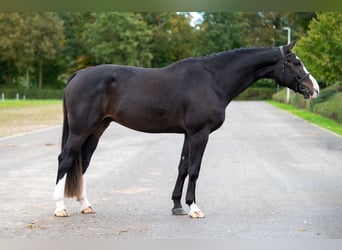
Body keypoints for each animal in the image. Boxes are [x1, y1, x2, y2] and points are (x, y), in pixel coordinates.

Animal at [52, 41, 318, 217]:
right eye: (295, 62)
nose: (313, 88)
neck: (213, 80)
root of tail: (78, 74)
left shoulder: (189, 134)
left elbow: (182, 167)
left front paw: (177, 205)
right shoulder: (200, 134)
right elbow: (194, 169)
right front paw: (194, 207)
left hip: (97, 128)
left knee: (83, 162)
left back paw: (86, 205)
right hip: (80, 130)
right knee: (66, 160)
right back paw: (60, 207)